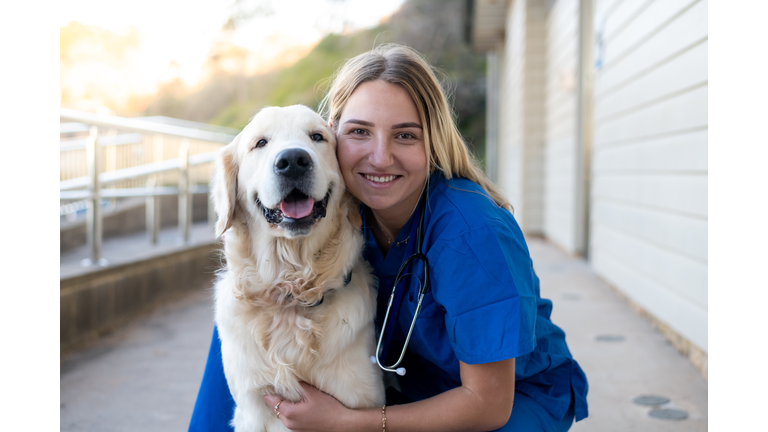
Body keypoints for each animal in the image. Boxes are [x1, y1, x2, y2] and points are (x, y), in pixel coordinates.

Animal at [212, 105, 384, 432]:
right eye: (260, 143)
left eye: (317, 137)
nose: (292, 161)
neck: (289, 293)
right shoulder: (252, 407)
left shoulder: (358, 400)